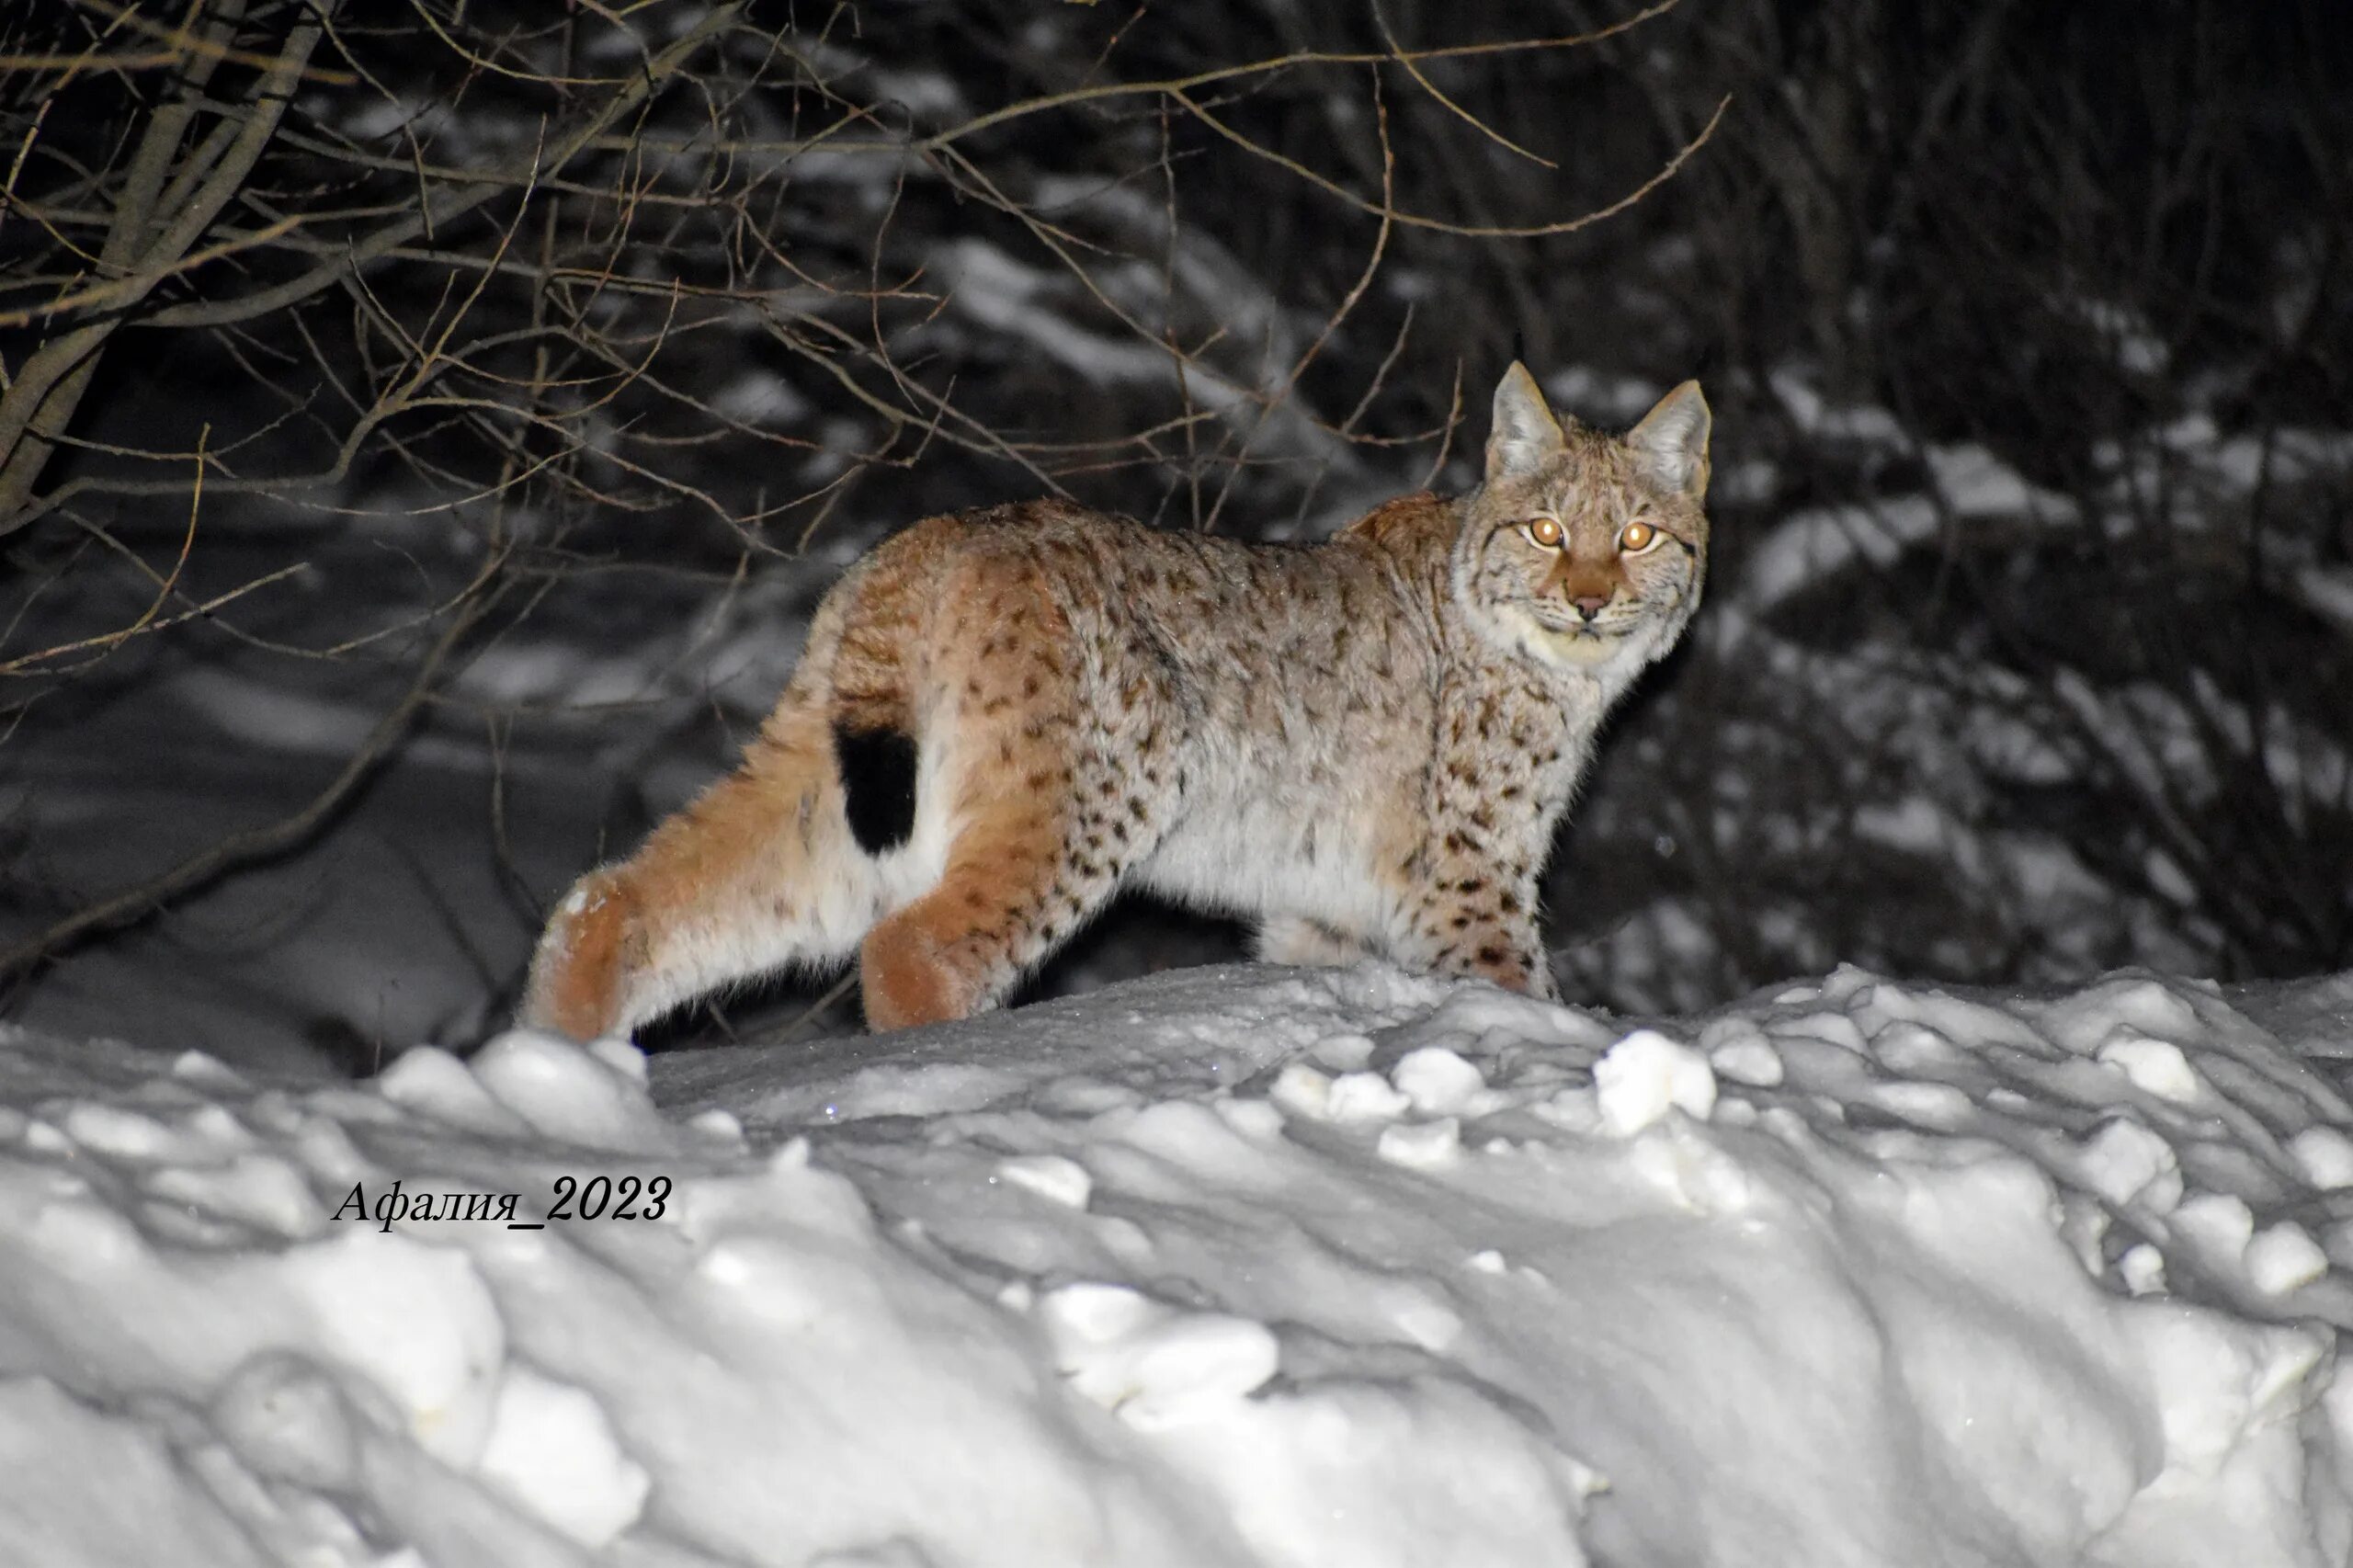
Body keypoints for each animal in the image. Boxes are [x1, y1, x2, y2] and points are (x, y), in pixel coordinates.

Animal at [519, 367, 1712, 1036]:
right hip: (1100, 790)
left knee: (618, 894)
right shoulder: (1468, 875)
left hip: (837, 781)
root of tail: (939, 530)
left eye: (1637, 535)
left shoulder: (1326, 907)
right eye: (1548, 532)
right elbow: (1520, 990)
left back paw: (558, 1073)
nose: (1591, 601)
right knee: (915, 946)